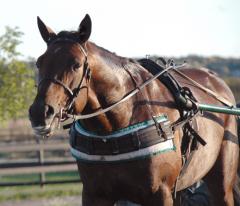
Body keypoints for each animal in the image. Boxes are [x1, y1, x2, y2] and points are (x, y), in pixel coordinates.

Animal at [29, 14, 239, 204]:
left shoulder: (161, 194)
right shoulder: (94, 194)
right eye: (39, 62)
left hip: (221, 182)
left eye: (76, 64)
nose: (41, 112)